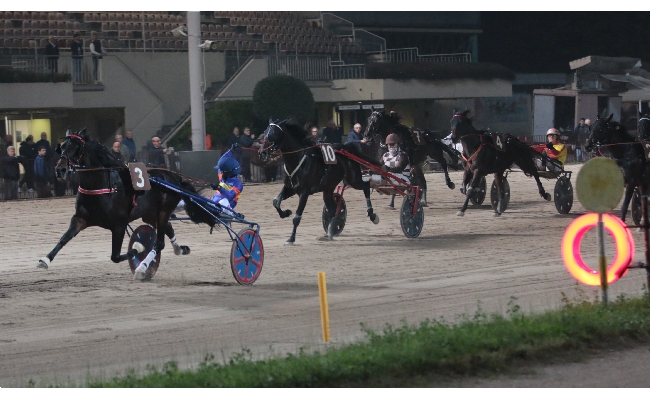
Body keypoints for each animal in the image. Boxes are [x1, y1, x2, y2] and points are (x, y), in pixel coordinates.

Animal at [36, 130, 194, 280]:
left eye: (76, 147)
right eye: (62, 147)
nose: (60, 170)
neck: (99, 187)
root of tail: (174, 176)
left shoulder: (119, 224)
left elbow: (116, 256)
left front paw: (139, 247)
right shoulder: (80, 219)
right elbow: (64, 238)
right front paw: (45, 260)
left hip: (163, 211)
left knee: (159, 243)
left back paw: (142, 269)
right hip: (150, 214)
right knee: (168, 228)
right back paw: (180, 249)